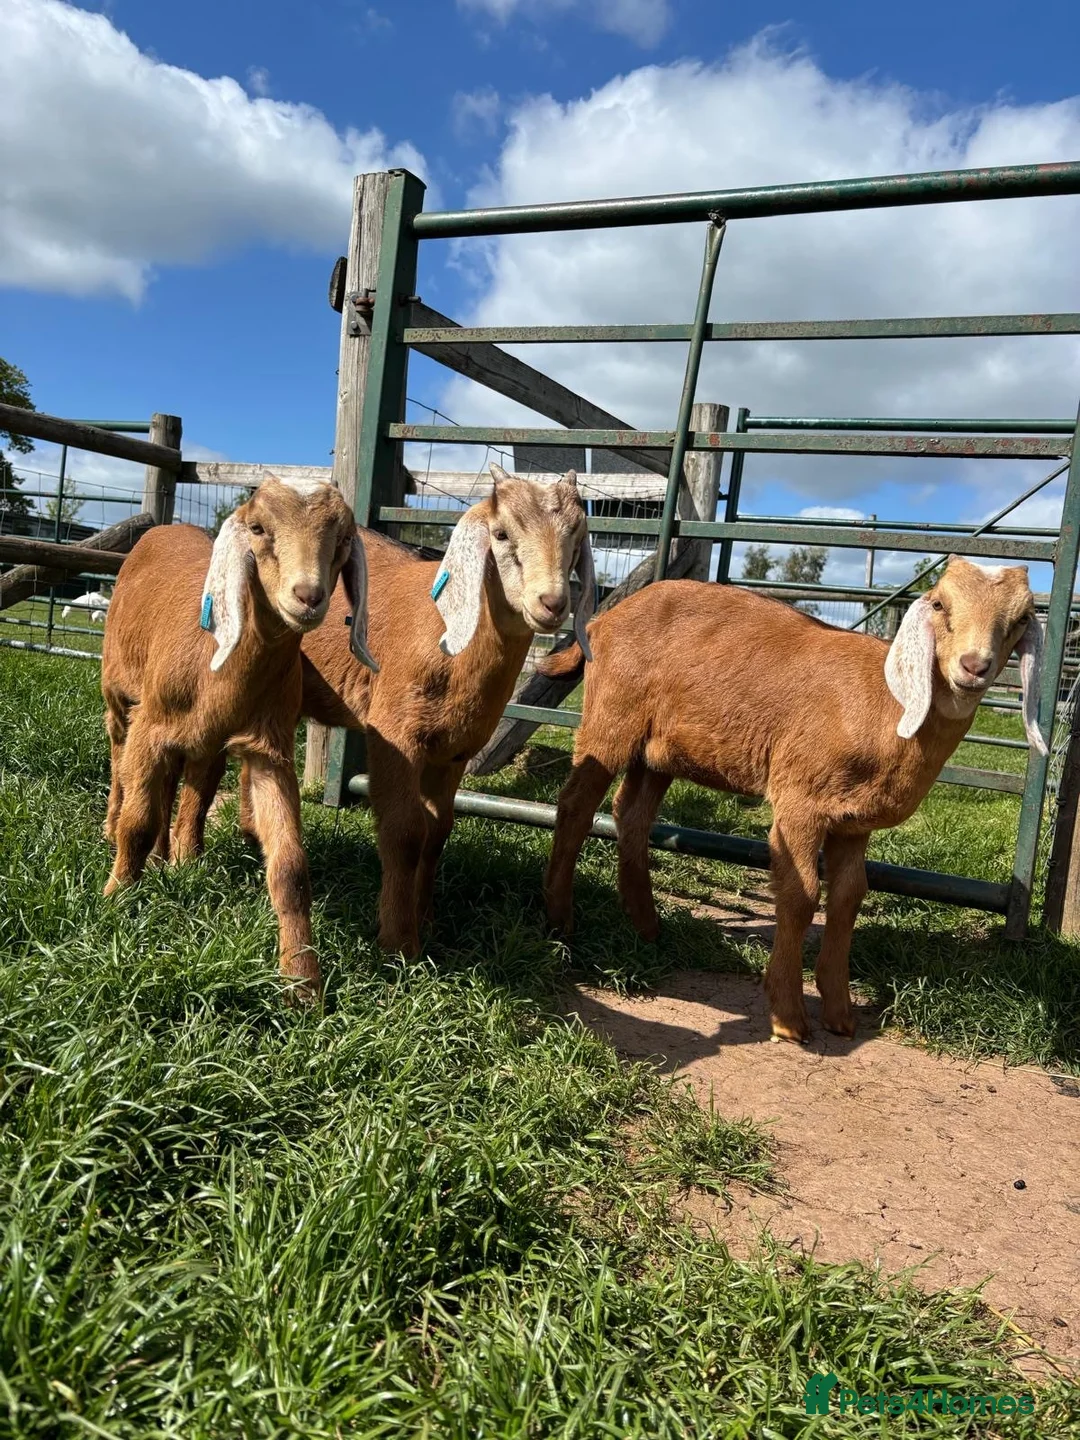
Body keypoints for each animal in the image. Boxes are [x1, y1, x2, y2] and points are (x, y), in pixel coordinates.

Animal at [101, 476, 373, 1000]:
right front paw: (116, 901)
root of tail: (166, 526)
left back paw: (182, 858)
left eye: (345, 538)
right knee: (119, 761)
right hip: (118, 697)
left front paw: (302, 980)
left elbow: (290, 866)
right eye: (258, 528)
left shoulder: (269, 751)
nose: (308, 596)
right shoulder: (151, 727)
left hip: (207, 744)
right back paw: (115, 828)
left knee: (192, 791)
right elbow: (137, 825)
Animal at [224, 463, 595, 957]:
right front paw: (399, 941)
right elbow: (405, 833)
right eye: (500, 533)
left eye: (577, 535)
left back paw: (251, 834)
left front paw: (427, 920)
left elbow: (437, 833)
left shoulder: (453, 751)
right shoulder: (395, 735)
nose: (551, 604)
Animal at [540, 557, 1046, 1043]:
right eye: (940, 604)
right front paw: (787, 1016)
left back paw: (647, 926)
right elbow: (802, 896)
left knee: (632, 815)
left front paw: (840, 1013)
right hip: (611, 717)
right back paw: (560, 920)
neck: (887, 707)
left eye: (1022, 617)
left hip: (658, 750)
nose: (974, 666)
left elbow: (847, 899)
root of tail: (603, 619)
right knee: (576, 805)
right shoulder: (801, 800)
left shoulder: (853, 822)